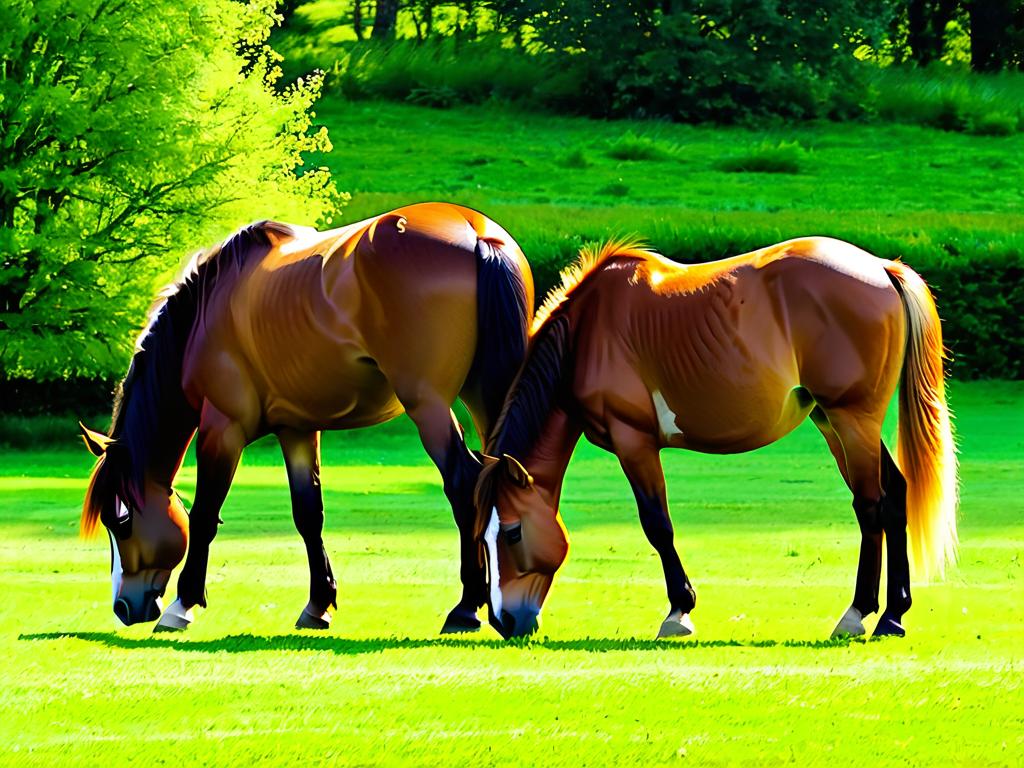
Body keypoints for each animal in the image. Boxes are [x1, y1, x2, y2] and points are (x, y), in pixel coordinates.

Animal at [77, 201, 536, 634]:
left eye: (121, 520)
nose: (124, 607)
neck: (204, 315)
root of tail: (474, 232)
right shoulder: (296, 429)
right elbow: (308, 514)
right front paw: (318, 605)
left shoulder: (222, 428)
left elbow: (204, 515)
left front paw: (182, 605)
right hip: (486, 396)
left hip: (429, 406)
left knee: (465, 482)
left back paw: (466, 608)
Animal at [475, 239, 954, 643]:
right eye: (482, 536)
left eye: (512, 533)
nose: (503, 621)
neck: (587, 335)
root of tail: (881, 267)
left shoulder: (633, 441)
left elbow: (657, 524)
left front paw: (678, 612)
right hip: (832, 420)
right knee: (894, 496)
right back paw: (893, 615)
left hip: (851, 419)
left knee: (870, 505)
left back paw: (857, 613)